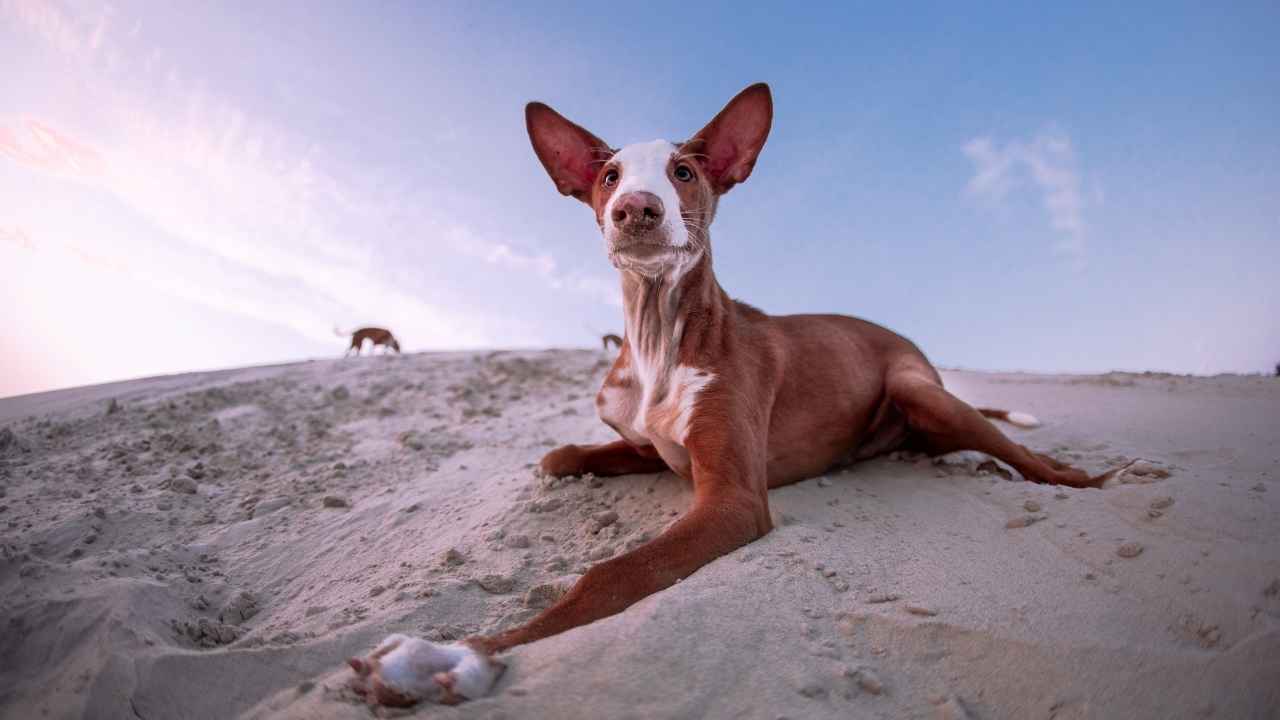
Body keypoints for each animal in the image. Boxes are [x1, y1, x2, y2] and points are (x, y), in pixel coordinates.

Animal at [345, 82, 1116, 702]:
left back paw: (1090, 477)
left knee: (1037, 459)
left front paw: (455, 655)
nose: (636, 209)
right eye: (608, 175)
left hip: (917, 387)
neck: (659, 336)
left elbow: (611, 575)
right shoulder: (647, 447)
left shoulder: (735, 498)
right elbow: (558, 455)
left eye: (683, 171)